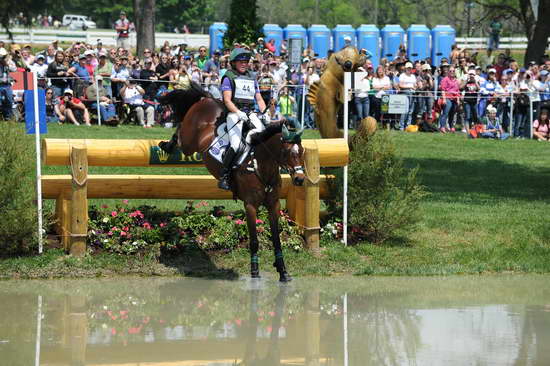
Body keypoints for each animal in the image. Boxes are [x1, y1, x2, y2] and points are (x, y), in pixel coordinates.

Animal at [160, 83, 306, 284]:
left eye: (302, 151)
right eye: (286, 152)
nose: (299, 179)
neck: (260, 164)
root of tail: (208, 99)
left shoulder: (273, 204)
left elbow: (276, 239)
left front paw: (283, 271)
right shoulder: (250, 205)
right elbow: (254, 240)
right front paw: (254, 272)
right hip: (189, 141)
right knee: (180, 133)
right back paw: (166, 145)